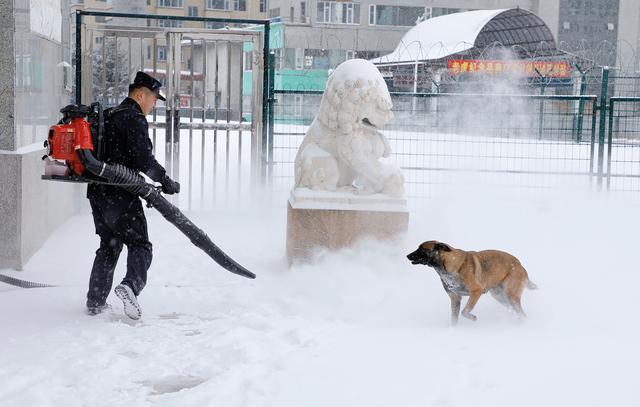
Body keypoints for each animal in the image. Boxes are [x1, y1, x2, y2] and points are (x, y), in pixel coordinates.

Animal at [408, 242, 536, 326]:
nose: (407, 255)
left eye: (422, 249)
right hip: (500, 297)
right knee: (515, 311)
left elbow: (465, 311)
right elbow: (454, 319)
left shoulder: (476, 292)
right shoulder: (455, 299)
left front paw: (473, 318)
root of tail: (519, 264)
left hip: (510, 295)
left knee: (522, 313)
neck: (448, 266)